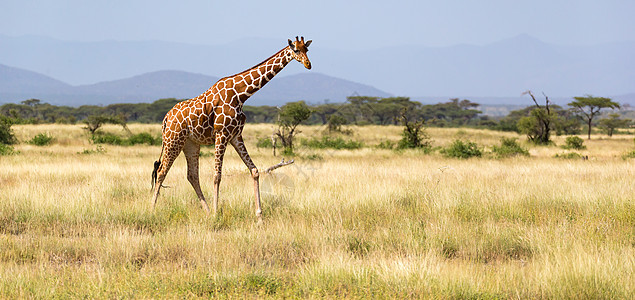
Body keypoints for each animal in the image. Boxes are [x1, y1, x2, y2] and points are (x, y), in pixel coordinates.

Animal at [153, 36, 314, 221]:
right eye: (296, 50)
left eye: (307, 50)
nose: (308, 64)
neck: (241, 94)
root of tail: (166, 118)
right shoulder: (221, 134)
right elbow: (217, 176)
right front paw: (217, 215)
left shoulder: (235, 135)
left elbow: (255, 171)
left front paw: (259, 216)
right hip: (173, 140)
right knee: (161, 171)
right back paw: (151, 209)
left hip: (190, 144)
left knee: (192, 175)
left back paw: (206, 211)